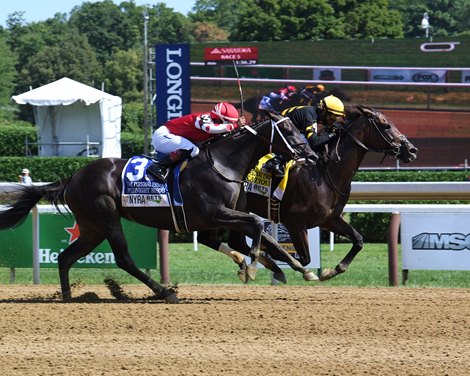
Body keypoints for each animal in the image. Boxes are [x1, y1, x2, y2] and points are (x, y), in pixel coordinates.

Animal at [0, 117, 318, 302]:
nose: (312, 155)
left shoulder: (219, 221)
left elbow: (264, 237)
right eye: (287, 129)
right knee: (124, 259)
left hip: (91, 228)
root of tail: (73, 177)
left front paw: (301, 269)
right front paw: (251, 268)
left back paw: (68, 297)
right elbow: (256, 224)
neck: (223, 165)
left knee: (65, 257)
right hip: (107, 219)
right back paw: (165, 292)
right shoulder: (214, 214)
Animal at [198, 105, 418, 282]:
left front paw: (331, 271)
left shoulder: (329, 219)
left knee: (222, 240)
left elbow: (358, 240)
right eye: (386, 125)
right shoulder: (295, 222)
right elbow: (302, 258)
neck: (328, 173)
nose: (411, 150)